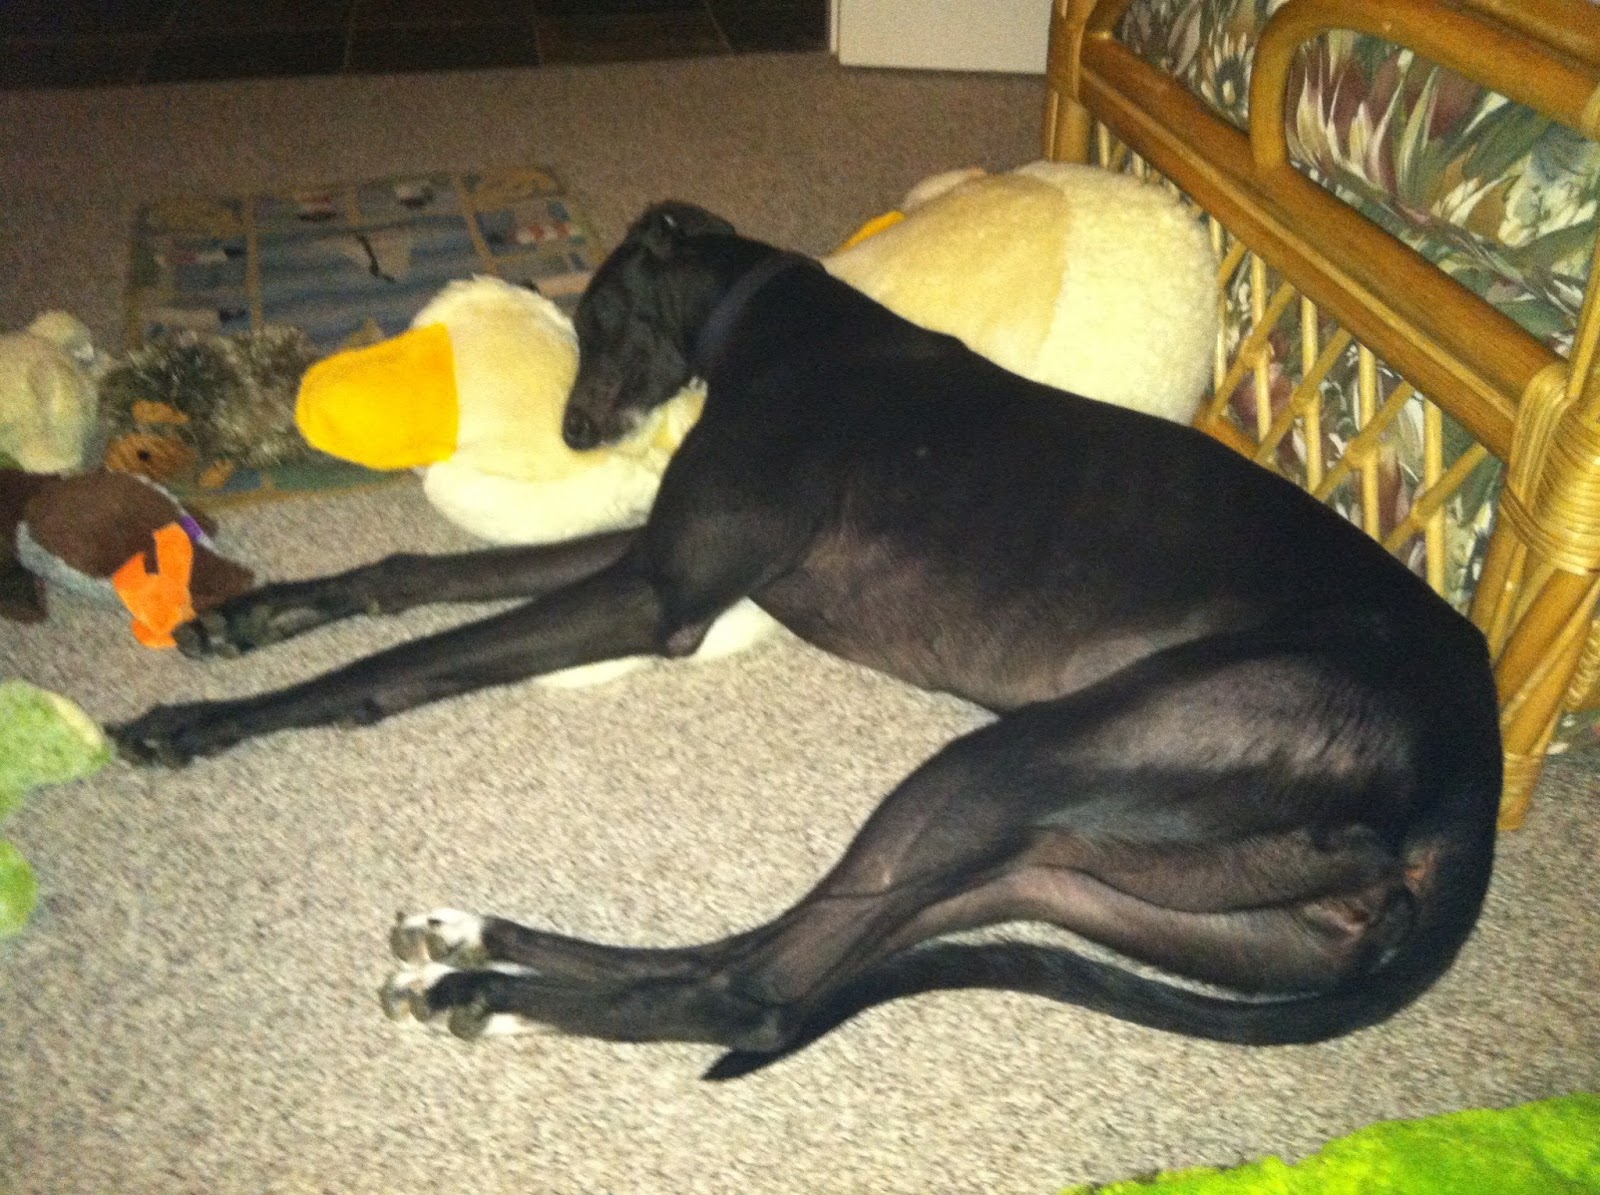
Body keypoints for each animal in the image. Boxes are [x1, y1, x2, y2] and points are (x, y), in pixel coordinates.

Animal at [113, 202, 1502, 1079]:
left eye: (598, 316)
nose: (574, 434)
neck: (771, 317)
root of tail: (1472, 793)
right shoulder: (651, 555)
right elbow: (408, 578)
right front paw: (240, 617)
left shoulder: (659, 595)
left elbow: (393, 669)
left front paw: (198, 724)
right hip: (1093, 870)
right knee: (793, 950)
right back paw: (481, 947)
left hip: (1065, 751)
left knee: (763, 989)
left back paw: (485, 991)